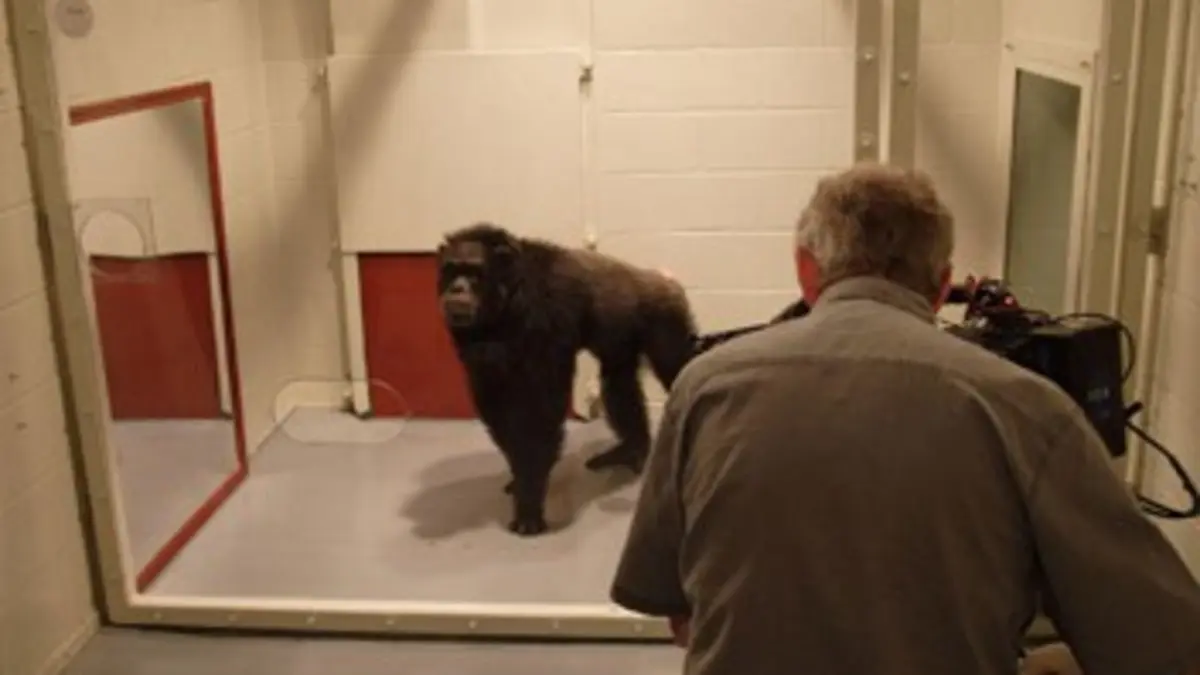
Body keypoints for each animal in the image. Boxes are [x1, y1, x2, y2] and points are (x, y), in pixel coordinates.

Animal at [436, 222, 696, 536]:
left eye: (474, 271)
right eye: (451, 269)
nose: (457, 287)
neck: (511, 296)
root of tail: (665, 279)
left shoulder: (546, 318)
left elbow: (541, 410)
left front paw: (529, 502)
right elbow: (495, 400)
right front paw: (518, 477)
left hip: (666, 318)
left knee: (678, 366)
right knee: (619, 381)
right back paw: (630, 449)